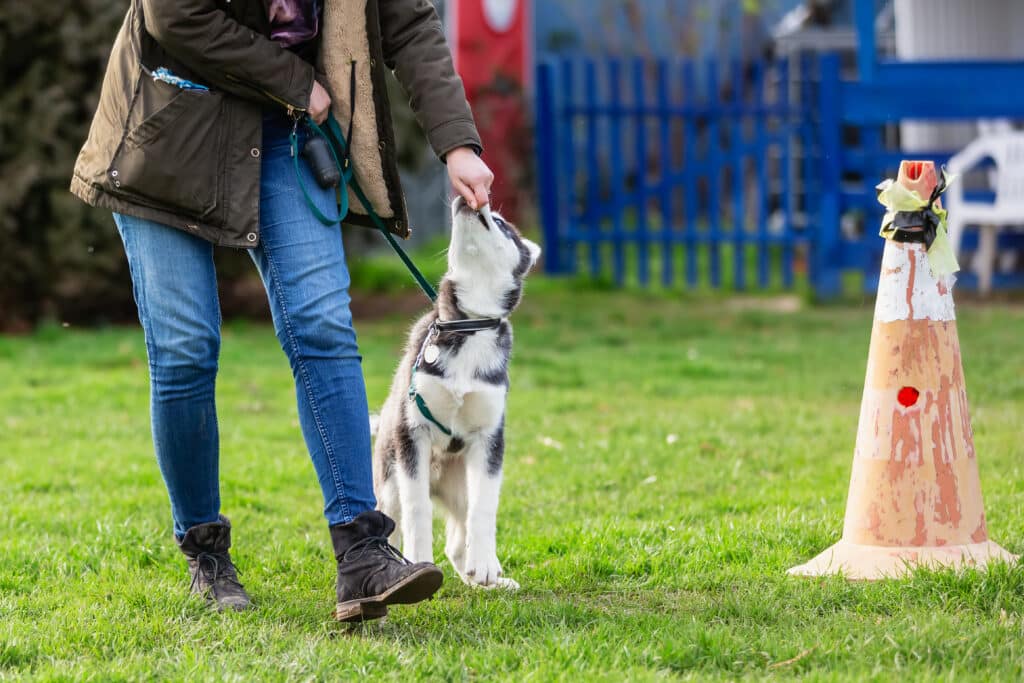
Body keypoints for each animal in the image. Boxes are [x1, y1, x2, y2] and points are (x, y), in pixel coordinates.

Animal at [372, 196, 540, 589]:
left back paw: (485, 578)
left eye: (501, 223)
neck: (468, 325)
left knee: (459, 534)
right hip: (390, 477)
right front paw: (418, 563)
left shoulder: (490, 439)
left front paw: (488, 566)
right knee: (392, 520)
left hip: (460, 482)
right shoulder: (411, 433)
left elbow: (485, 507)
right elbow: (417, 509)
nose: (467, 196)